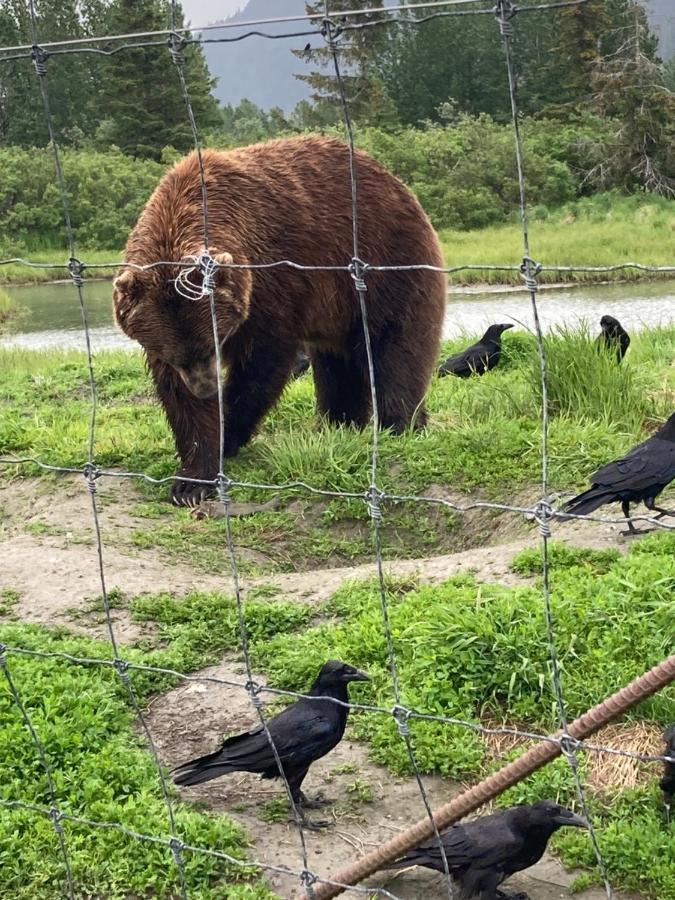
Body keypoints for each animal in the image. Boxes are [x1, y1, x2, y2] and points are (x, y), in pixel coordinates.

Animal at [113, 137, 446, 510]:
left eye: (211, 345)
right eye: (180, 357)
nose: (205, 387)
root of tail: (400, 187)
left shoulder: (274, 282)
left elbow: (261, 367)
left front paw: (226, 435)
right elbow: (177, 398)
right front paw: (191, 478)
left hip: (386, 265)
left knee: (396, 352)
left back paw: (400, 425)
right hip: (339, 312)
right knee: (339, 368)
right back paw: (339, 425)